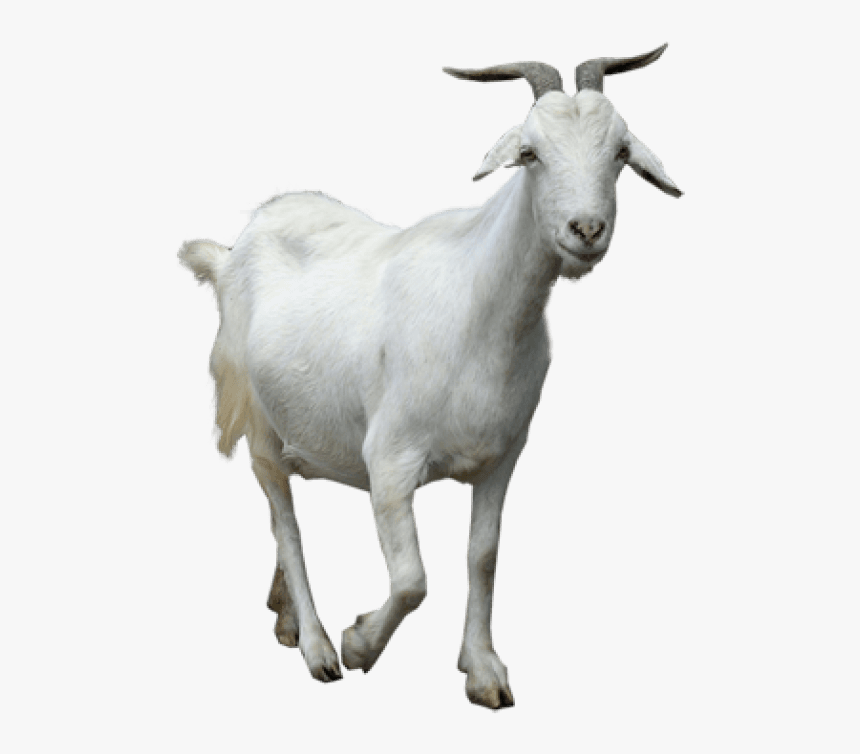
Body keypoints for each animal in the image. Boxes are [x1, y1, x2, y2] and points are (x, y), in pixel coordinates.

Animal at [179, 45, 682, 709]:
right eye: (530, 152)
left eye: (621, 152)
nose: (587, 230)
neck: (478, 306)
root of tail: (234, 250)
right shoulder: (389, 460)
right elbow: (413, 579)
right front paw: (360, 642)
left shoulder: (502, 456)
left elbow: (483, 556)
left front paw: (484, 670)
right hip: (261, 422)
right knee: (286, 522)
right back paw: (316, 647)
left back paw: (284, 616)